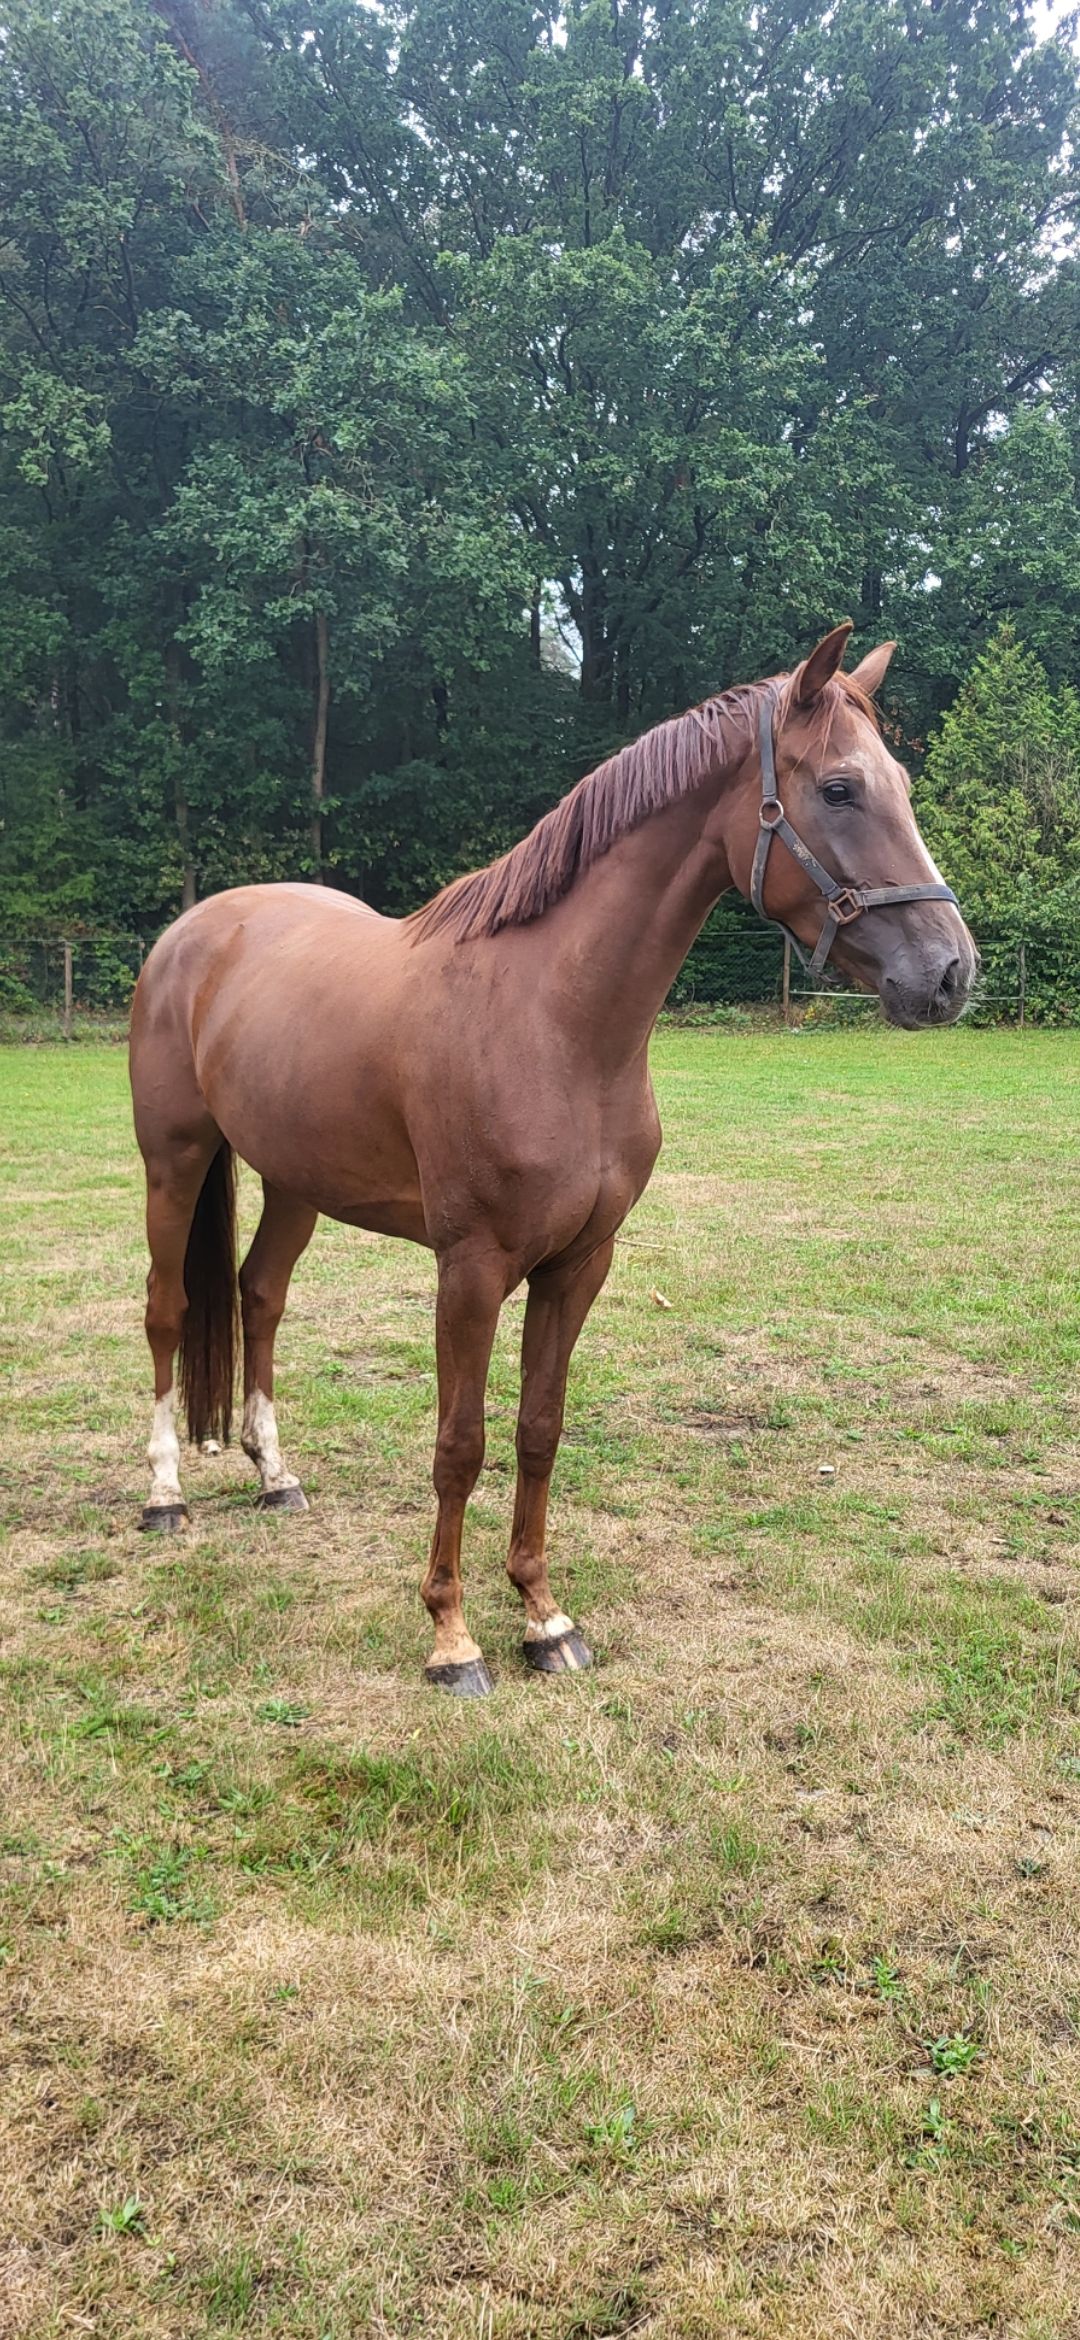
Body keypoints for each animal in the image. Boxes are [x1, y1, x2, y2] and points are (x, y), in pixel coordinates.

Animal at [129, 622, 976, 1694]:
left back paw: (275, 1475)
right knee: (169, 1309)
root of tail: (195, 930)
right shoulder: (471, 1269)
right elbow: (461, 1442)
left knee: (259, 1295)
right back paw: (163, 1494)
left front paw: (542, 1616)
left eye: (898, 781)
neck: (554, 1021)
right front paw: (451, 1637)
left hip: (293, 1181)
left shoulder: (578, 1264)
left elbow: (539, 1429)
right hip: (175, 1162)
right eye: (838, 789)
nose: (949, 972)